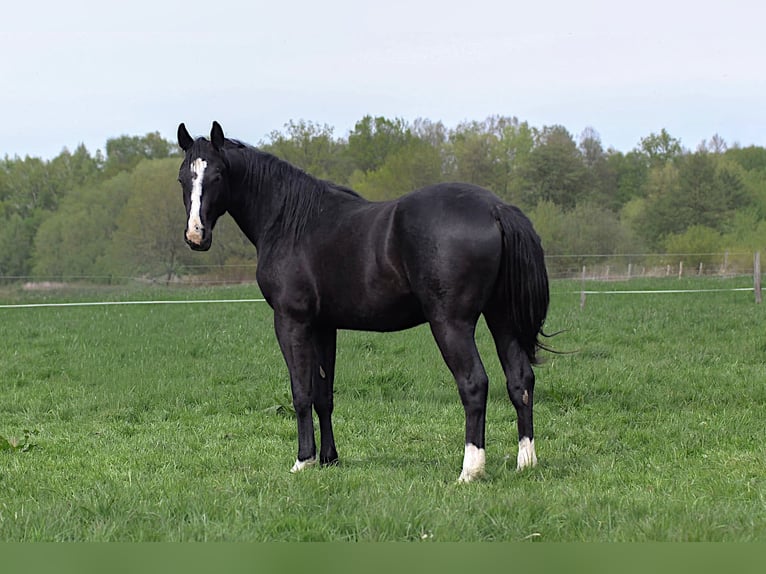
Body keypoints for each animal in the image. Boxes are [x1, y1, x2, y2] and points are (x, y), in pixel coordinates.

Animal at [176, 121, 550, 482]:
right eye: (183, 177)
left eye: (217, 176)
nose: (195, 236)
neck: (291, 222)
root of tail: (495, 208)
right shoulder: (324, 326)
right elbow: (323, 395)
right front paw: (329, 459)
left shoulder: (291, 321)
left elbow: (301, 392)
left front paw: (303, 460)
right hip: (501, 319)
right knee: (520, 381)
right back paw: (526, 463)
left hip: (451, 324)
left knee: (474, 384)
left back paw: (469, 471)